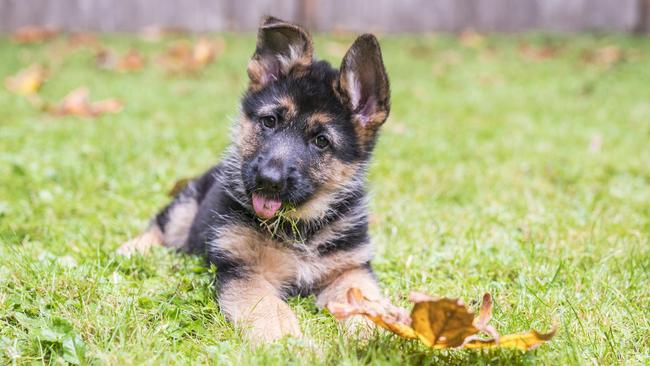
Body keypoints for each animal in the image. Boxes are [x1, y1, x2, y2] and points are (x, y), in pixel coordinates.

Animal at [116, 16, 388, 344]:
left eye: (321, 141)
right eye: (269, 121)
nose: (268, 180)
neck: (299, 228)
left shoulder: (350, 269)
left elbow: (364, 299)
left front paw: (377, 333)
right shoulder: (244, 271)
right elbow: (270, 308)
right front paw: (290, 342)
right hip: (186, 205)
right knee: (161, 227)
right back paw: (131, 250)